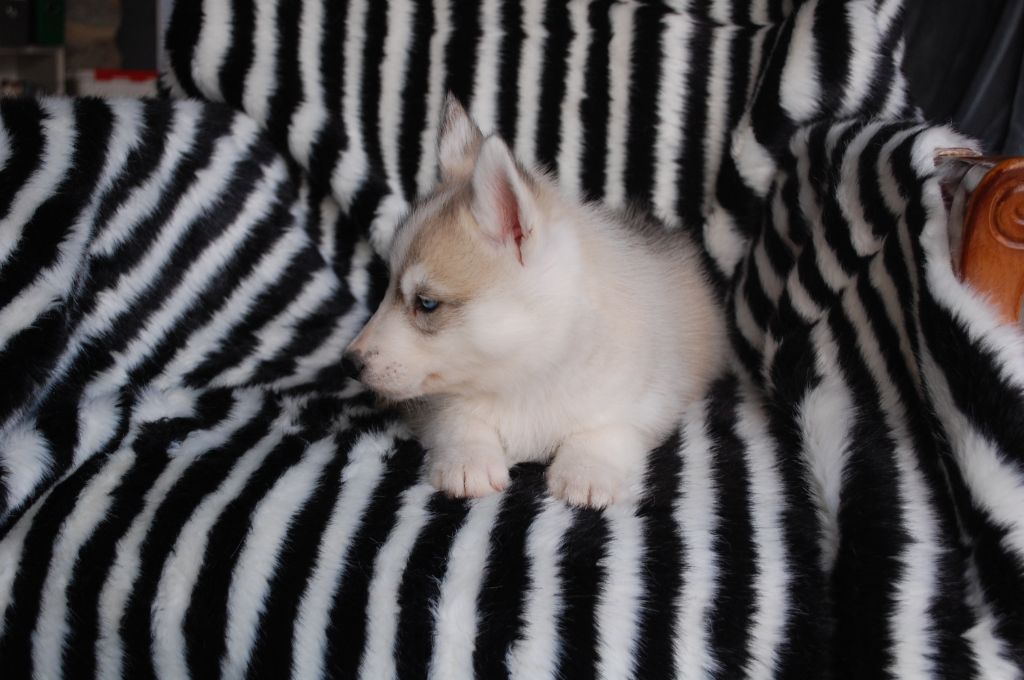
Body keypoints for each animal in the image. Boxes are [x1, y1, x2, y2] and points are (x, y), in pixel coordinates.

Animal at [345, 95, 725, 508]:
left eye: (427, 303)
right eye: (387, 288)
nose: (350, 363)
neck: (525, 371)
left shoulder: (648, 400)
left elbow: (608, 428)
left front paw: (587, 469)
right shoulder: (434, 405)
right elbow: (457, 418)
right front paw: (468, 460)